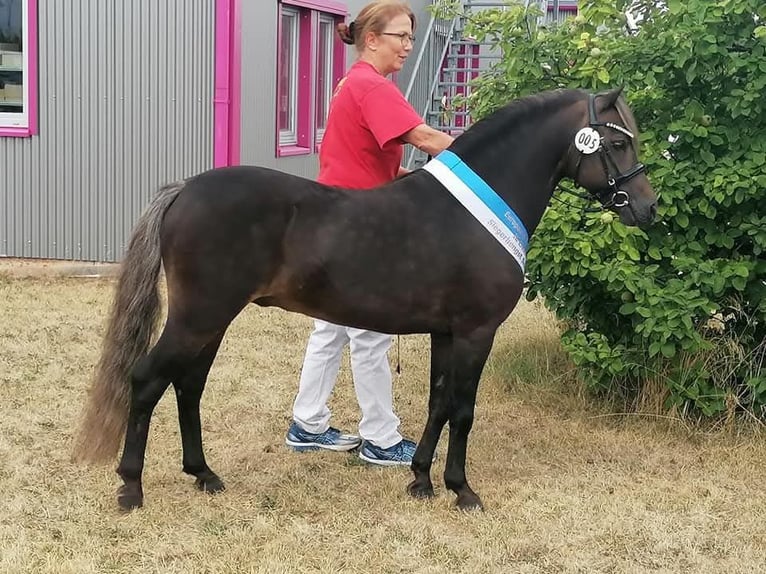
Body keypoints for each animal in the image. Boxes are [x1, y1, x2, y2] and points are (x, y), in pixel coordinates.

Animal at [73, 87, 657, 512]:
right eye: (619, 143)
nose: (647, 209)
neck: (473, 213)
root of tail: (186, 189)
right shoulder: (476, 332)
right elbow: (464, 409)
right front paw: (461, 489)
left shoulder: (446, 333)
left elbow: (439, 402)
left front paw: (421, 480)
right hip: (199, 317)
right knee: (148, 380)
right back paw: (131, 487)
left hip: (210, 322)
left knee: (189, 385)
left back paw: (203, 474)